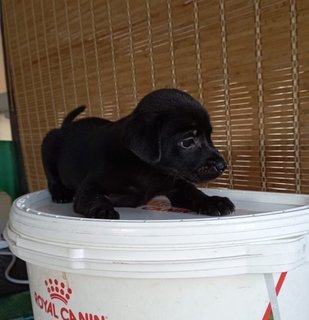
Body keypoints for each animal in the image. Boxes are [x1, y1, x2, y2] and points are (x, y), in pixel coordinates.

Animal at [41, 89, 233, 219]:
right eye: (187, 142)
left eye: (209, 136)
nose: (222, 166)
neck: (146, 170)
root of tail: (65, 127)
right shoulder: (89, 186)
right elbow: (94, 198)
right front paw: (102, 210)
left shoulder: (176, 186)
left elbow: (194, 193)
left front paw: (214, 201)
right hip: (49, 143)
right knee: (52, 177)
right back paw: (60, 193)